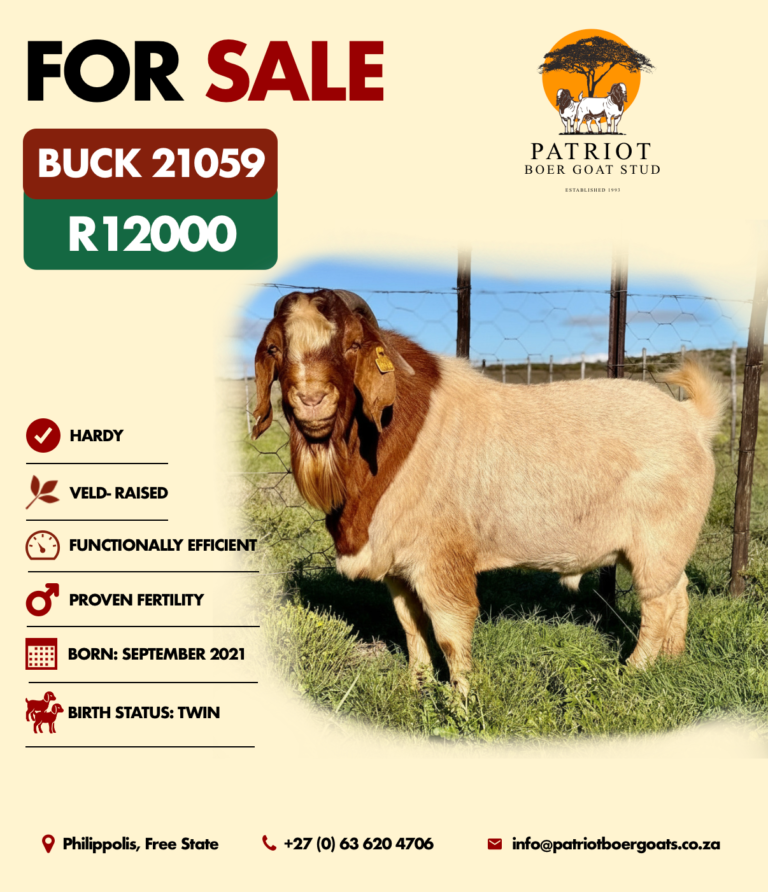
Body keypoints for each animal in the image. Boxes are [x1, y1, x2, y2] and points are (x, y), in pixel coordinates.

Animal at [252, 289, 725, 695]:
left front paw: (462, 698)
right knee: (678, 591)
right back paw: (674, 658)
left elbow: (449, 630)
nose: (311, 399)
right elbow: (410, 625)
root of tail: (692, 419)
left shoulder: (440, 557)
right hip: (661, 547)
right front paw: (417, 684)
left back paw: (635, 669)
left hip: (657, 540)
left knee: (658, 603)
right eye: (275, 349)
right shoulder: (398, 566)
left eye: (353, 344)